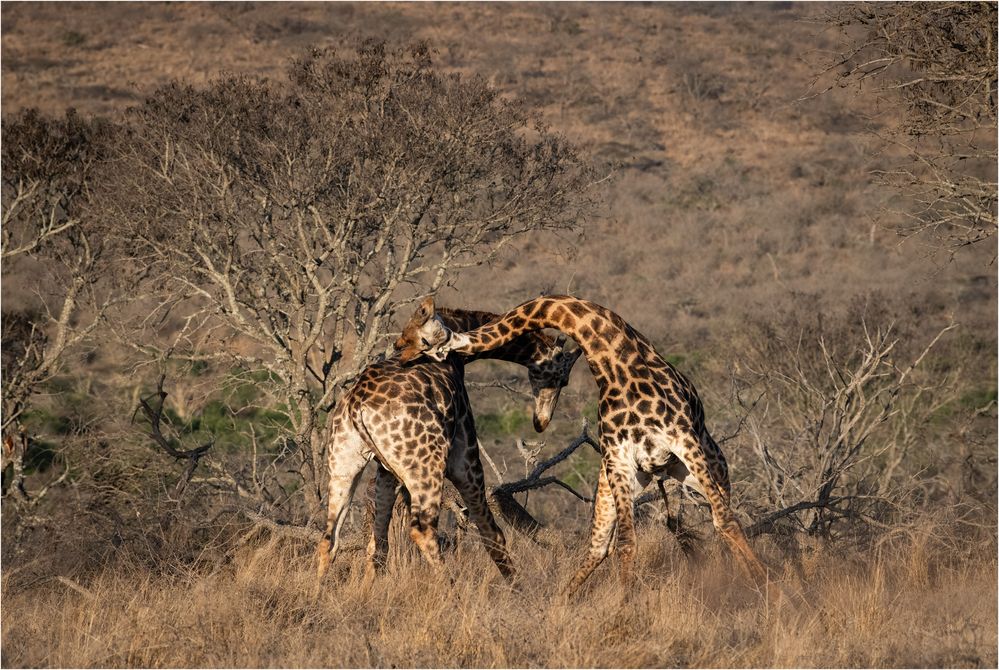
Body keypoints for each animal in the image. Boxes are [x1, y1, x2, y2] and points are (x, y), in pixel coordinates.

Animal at [316, 300, 584, 588]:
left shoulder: (385, 471)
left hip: (343, 464)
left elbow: (378, 541)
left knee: (329, 538)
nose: (541, 422)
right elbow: (491, 530)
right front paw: (517, 588)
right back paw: (451, 587)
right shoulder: (465, 454)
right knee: (422, 529)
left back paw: (319, 591)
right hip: (426, 465)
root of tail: (356, 404)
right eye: (563, 378)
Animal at [402, 296, 776, 596]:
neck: (615, 363)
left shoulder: (682, 440)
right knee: (598, 546)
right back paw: (561, 603)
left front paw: (771, 588)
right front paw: (624, 608)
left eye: (415, 333)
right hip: (621, 483)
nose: (400, 353)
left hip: (708, 466)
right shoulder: (620, 461)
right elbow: (625, 544)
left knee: (722, 519)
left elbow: (726, 522)